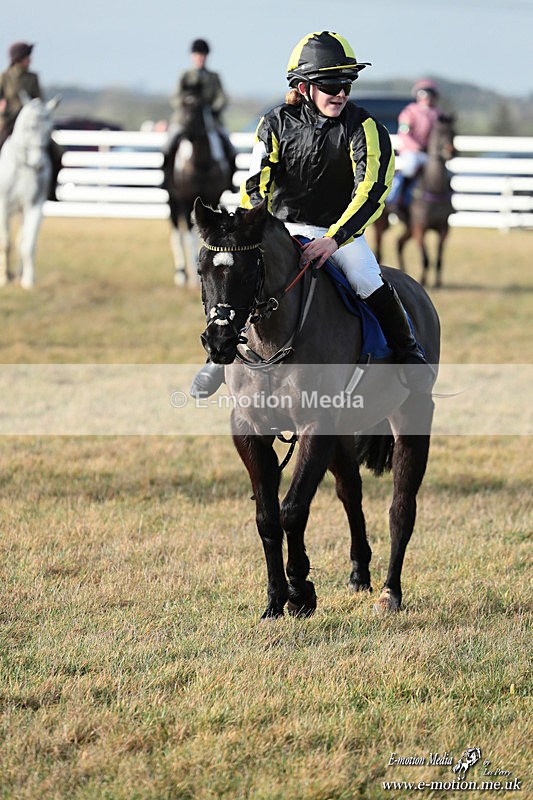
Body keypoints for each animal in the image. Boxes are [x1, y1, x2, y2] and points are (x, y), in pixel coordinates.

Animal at [0, 95, 60, 288]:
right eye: (30, 126)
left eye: (50, 130)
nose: (39, 164)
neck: (23, 165)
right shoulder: (3, 206)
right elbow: (5, 243)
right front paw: (3, 279)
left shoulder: (34, 205)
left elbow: (28, 244)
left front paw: (28, 280)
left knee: (21, 239)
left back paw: (19, 273)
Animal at [163, 94, 233, 287]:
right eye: (182, 109)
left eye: (196, 113)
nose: (181, 135)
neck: (201, 163)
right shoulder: (187, 202)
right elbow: (189, 237)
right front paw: (194, 279)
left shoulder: (214, 199)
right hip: (172, 202)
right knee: (177, 235)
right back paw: (181, 275)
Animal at [194, 197, 441, 619]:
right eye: (201, 269)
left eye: (248, 269)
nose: (219, 341)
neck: (272, 338)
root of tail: (416, 292)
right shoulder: (249, 430)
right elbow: (267, 517)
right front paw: (274, 600)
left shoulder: (315, 425)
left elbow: (293, 509)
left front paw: (300, 591)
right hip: (343, 434)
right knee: (351, 492)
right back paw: (359, 573)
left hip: (412, 416)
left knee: (401, 508)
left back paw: (390, 593)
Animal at [373, 114, 456, 288]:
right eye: (439, 132)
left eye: (453, 132)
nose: (450, 151)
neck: (433, 187)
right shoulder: (420, 227)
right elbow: (425, 257)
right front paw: (424, 280)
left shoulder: (444, 228)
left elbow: (439, 258)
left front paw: (438, 282)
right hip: (382, 223)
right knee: (379, 246)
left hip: (409, 226)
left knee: (399, 243)